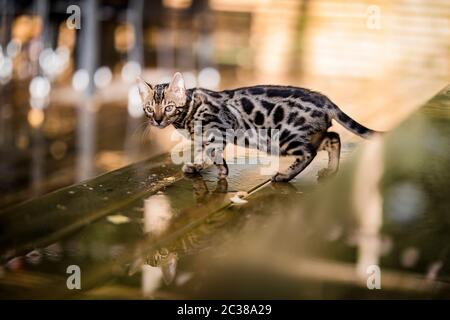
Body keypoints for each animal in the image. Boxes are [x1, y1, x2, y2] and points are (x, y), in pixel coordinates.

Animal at [137, 73, 380, 182]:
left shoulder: (220, 128)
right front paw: (197, 166)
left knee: (309, 152)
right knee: (333, 138)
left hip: (284, 137)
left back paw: (284, 175)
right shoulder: (202, 137)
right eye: (149, 108)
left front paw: (221, 171)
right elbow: (202, 151)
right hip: (307, 135)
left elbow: (212, 152)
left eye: (168, 107)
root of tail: (325, 100)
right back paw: (331, 170)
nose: (157, 120)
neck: (188, 112)